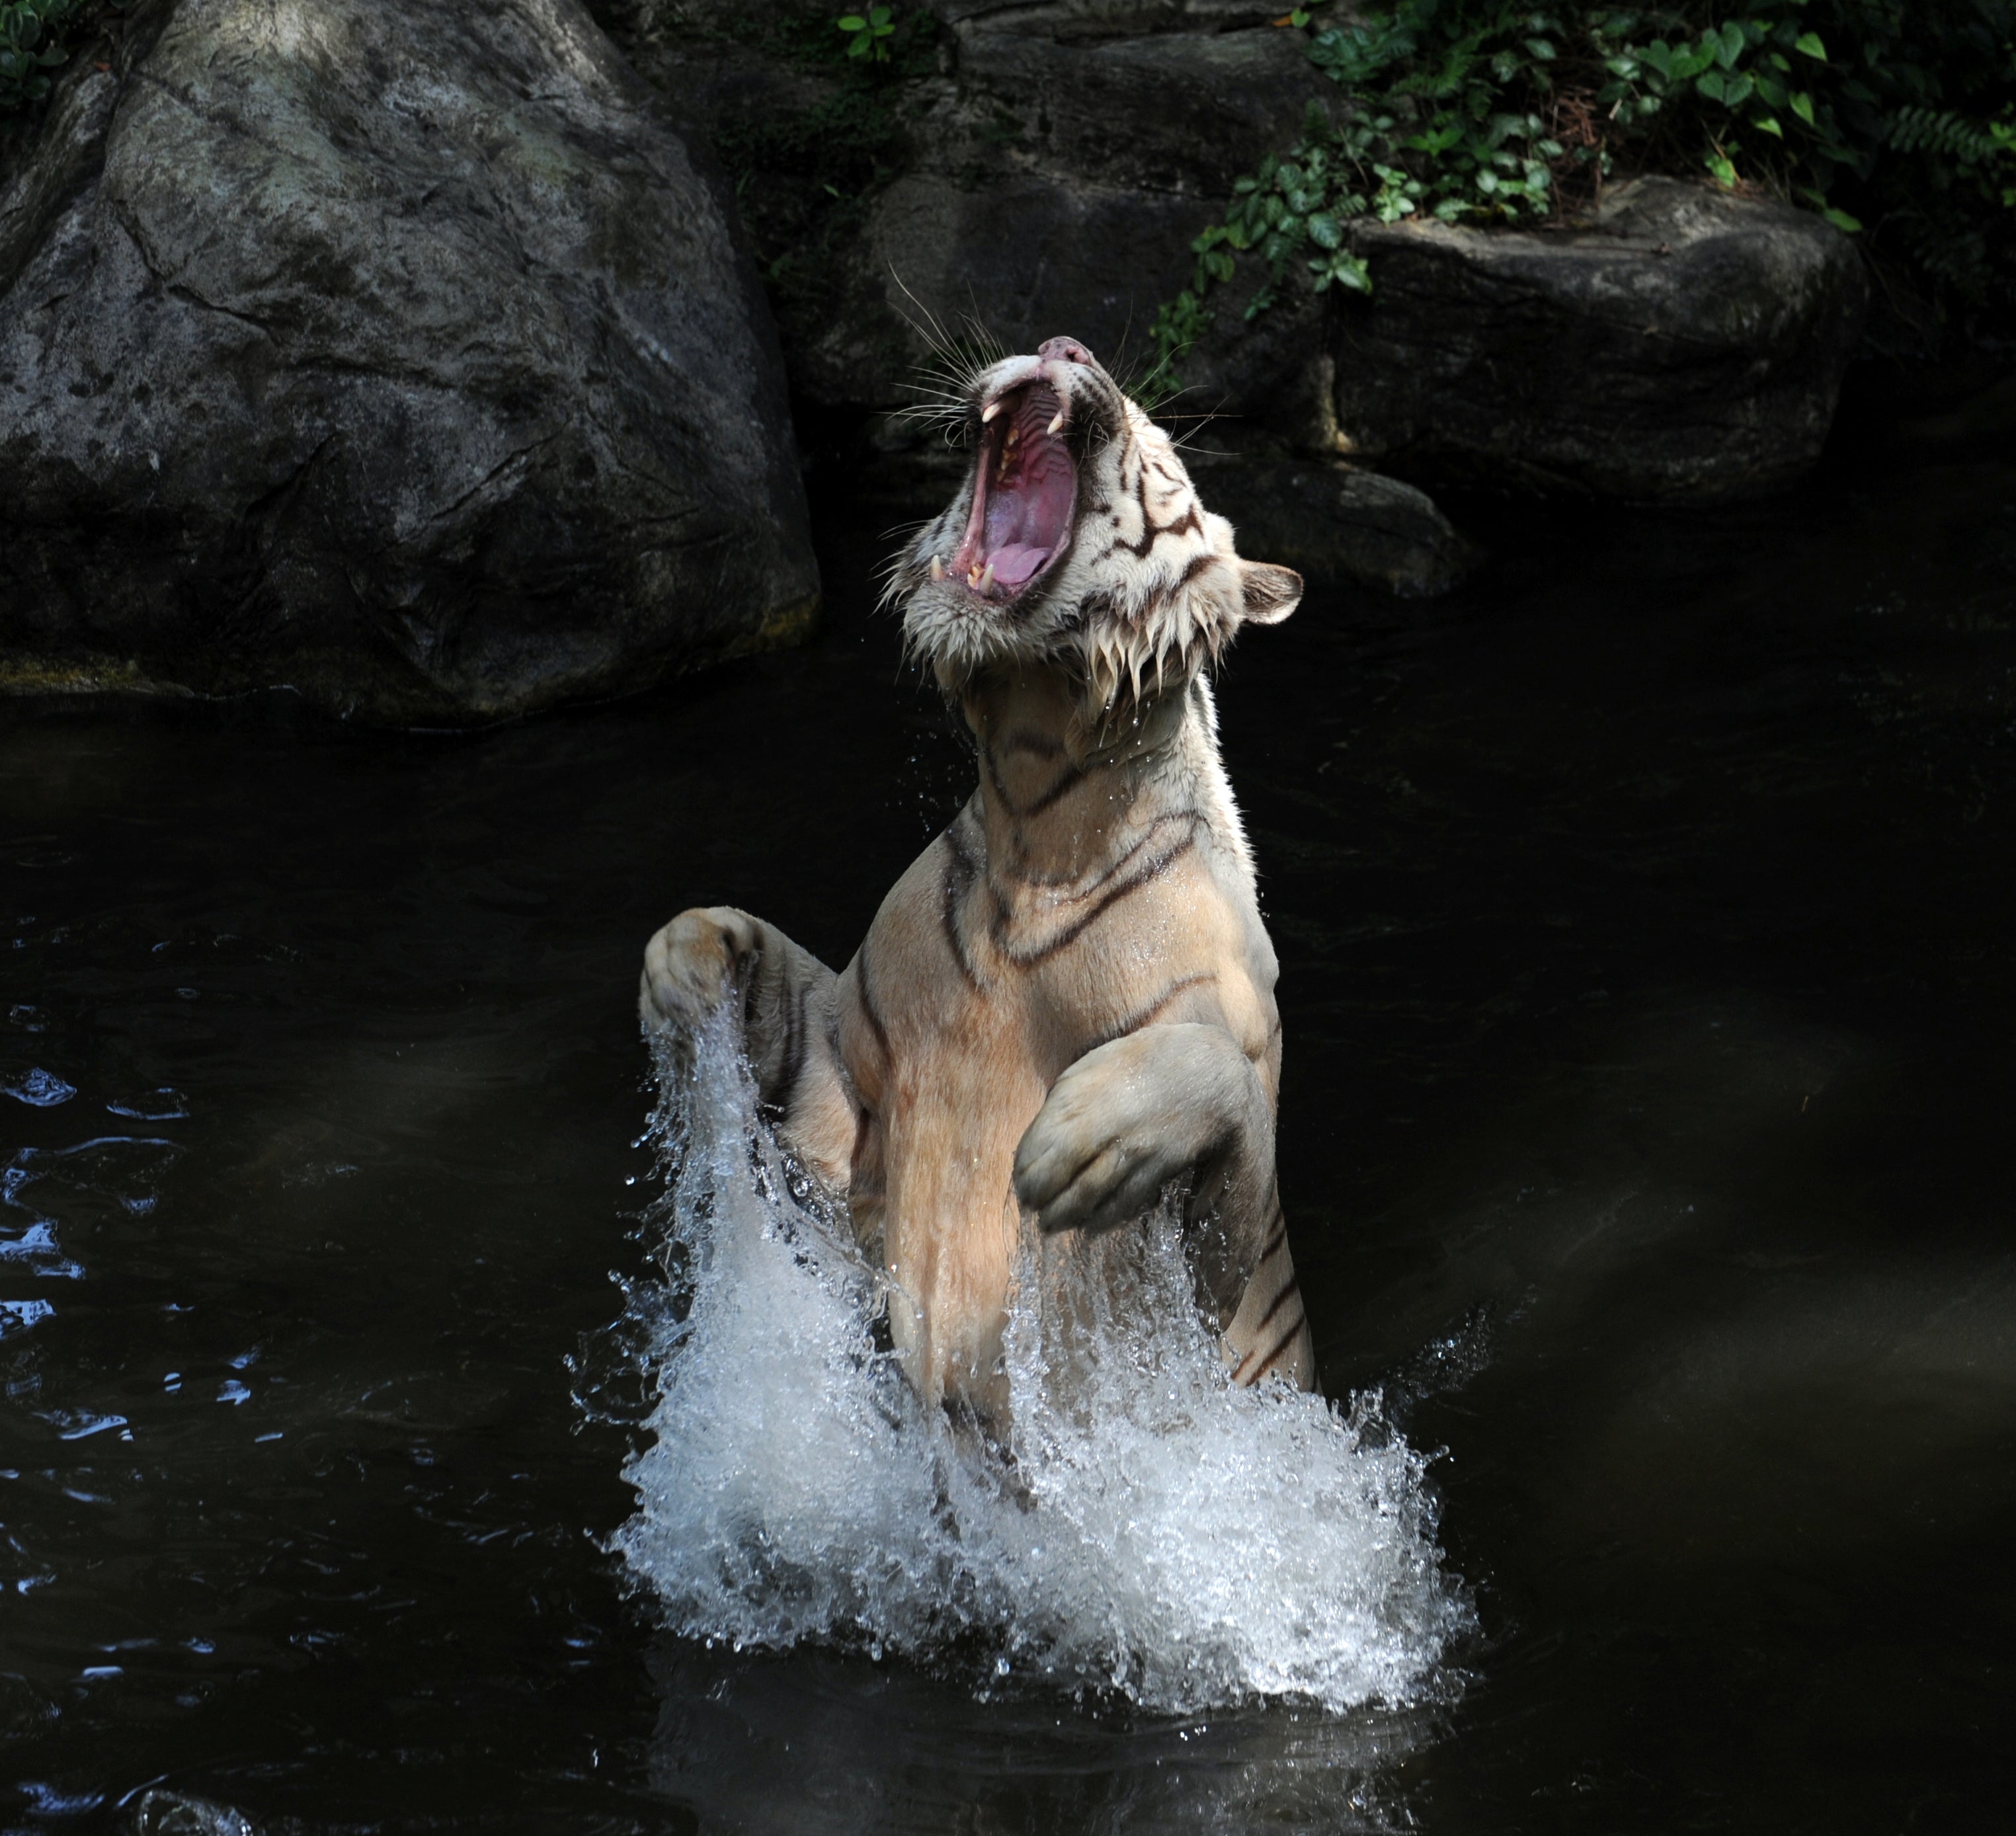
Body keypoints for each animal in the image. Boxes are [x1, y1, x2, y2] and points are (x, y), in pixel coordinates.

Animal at [640, 334, 1315, 1433]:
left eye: (1158, 445)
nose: (1065, 344)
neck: (1036, 816)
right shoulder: (848, 1071)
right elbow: (779, 987)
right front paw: (684, 964)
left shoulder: (1220, 1282)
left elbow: (1216, 1088)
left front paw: (1082, 1144)